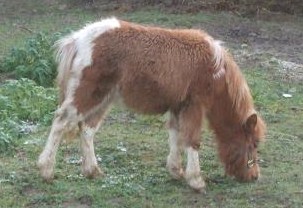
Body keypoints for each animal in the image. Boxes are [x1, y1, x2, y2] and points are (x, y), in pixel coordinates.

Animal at [37, 17, 266, 192]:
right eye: (254, 144)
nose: (255, 176)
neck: (215, 68)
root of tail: (78, 40)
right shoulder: (194, 105)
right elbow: (192, 140)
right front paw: (196, 180)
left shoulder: (177, 106)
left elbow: (176, 135)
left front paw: (175, 171)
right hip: (88, 94)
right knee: (61, 121)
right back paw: (46, 170)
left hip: (104, 98)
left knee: (87, 130)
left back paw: (92, 171)